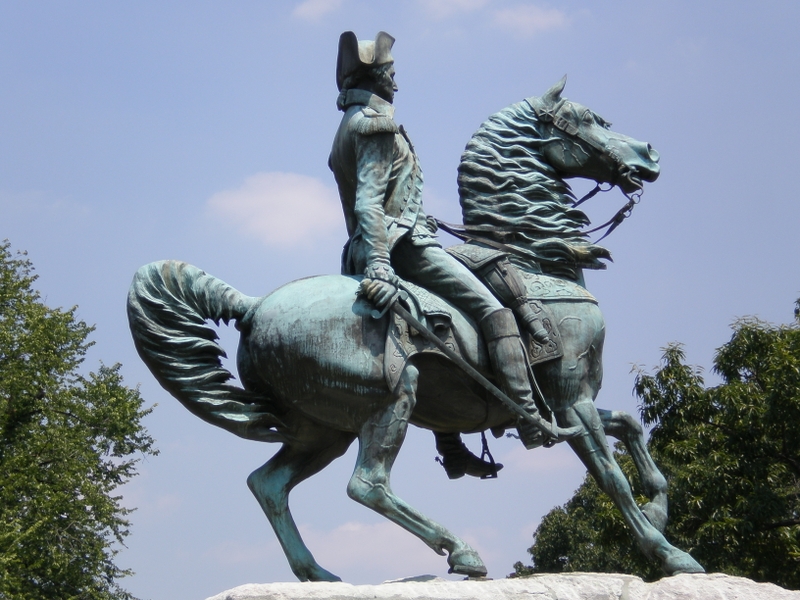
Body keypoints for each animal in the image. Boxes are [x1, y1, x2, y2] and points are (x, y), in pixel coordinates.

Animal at [128, 76, 704, 580]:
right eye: (591, 119)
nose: (649, 154)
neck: (538, 259)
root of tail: (251, 308)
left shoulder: (572, 402)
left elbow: (630, 427)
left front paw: (658, 511)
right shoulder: (571, 401)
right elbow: (612, 477)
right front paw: (669, 553)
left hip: (323, 426)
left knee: (268, 484)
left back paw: (319, 573)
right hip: (391, 394)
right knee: (366, 485)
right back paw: (461, 552)